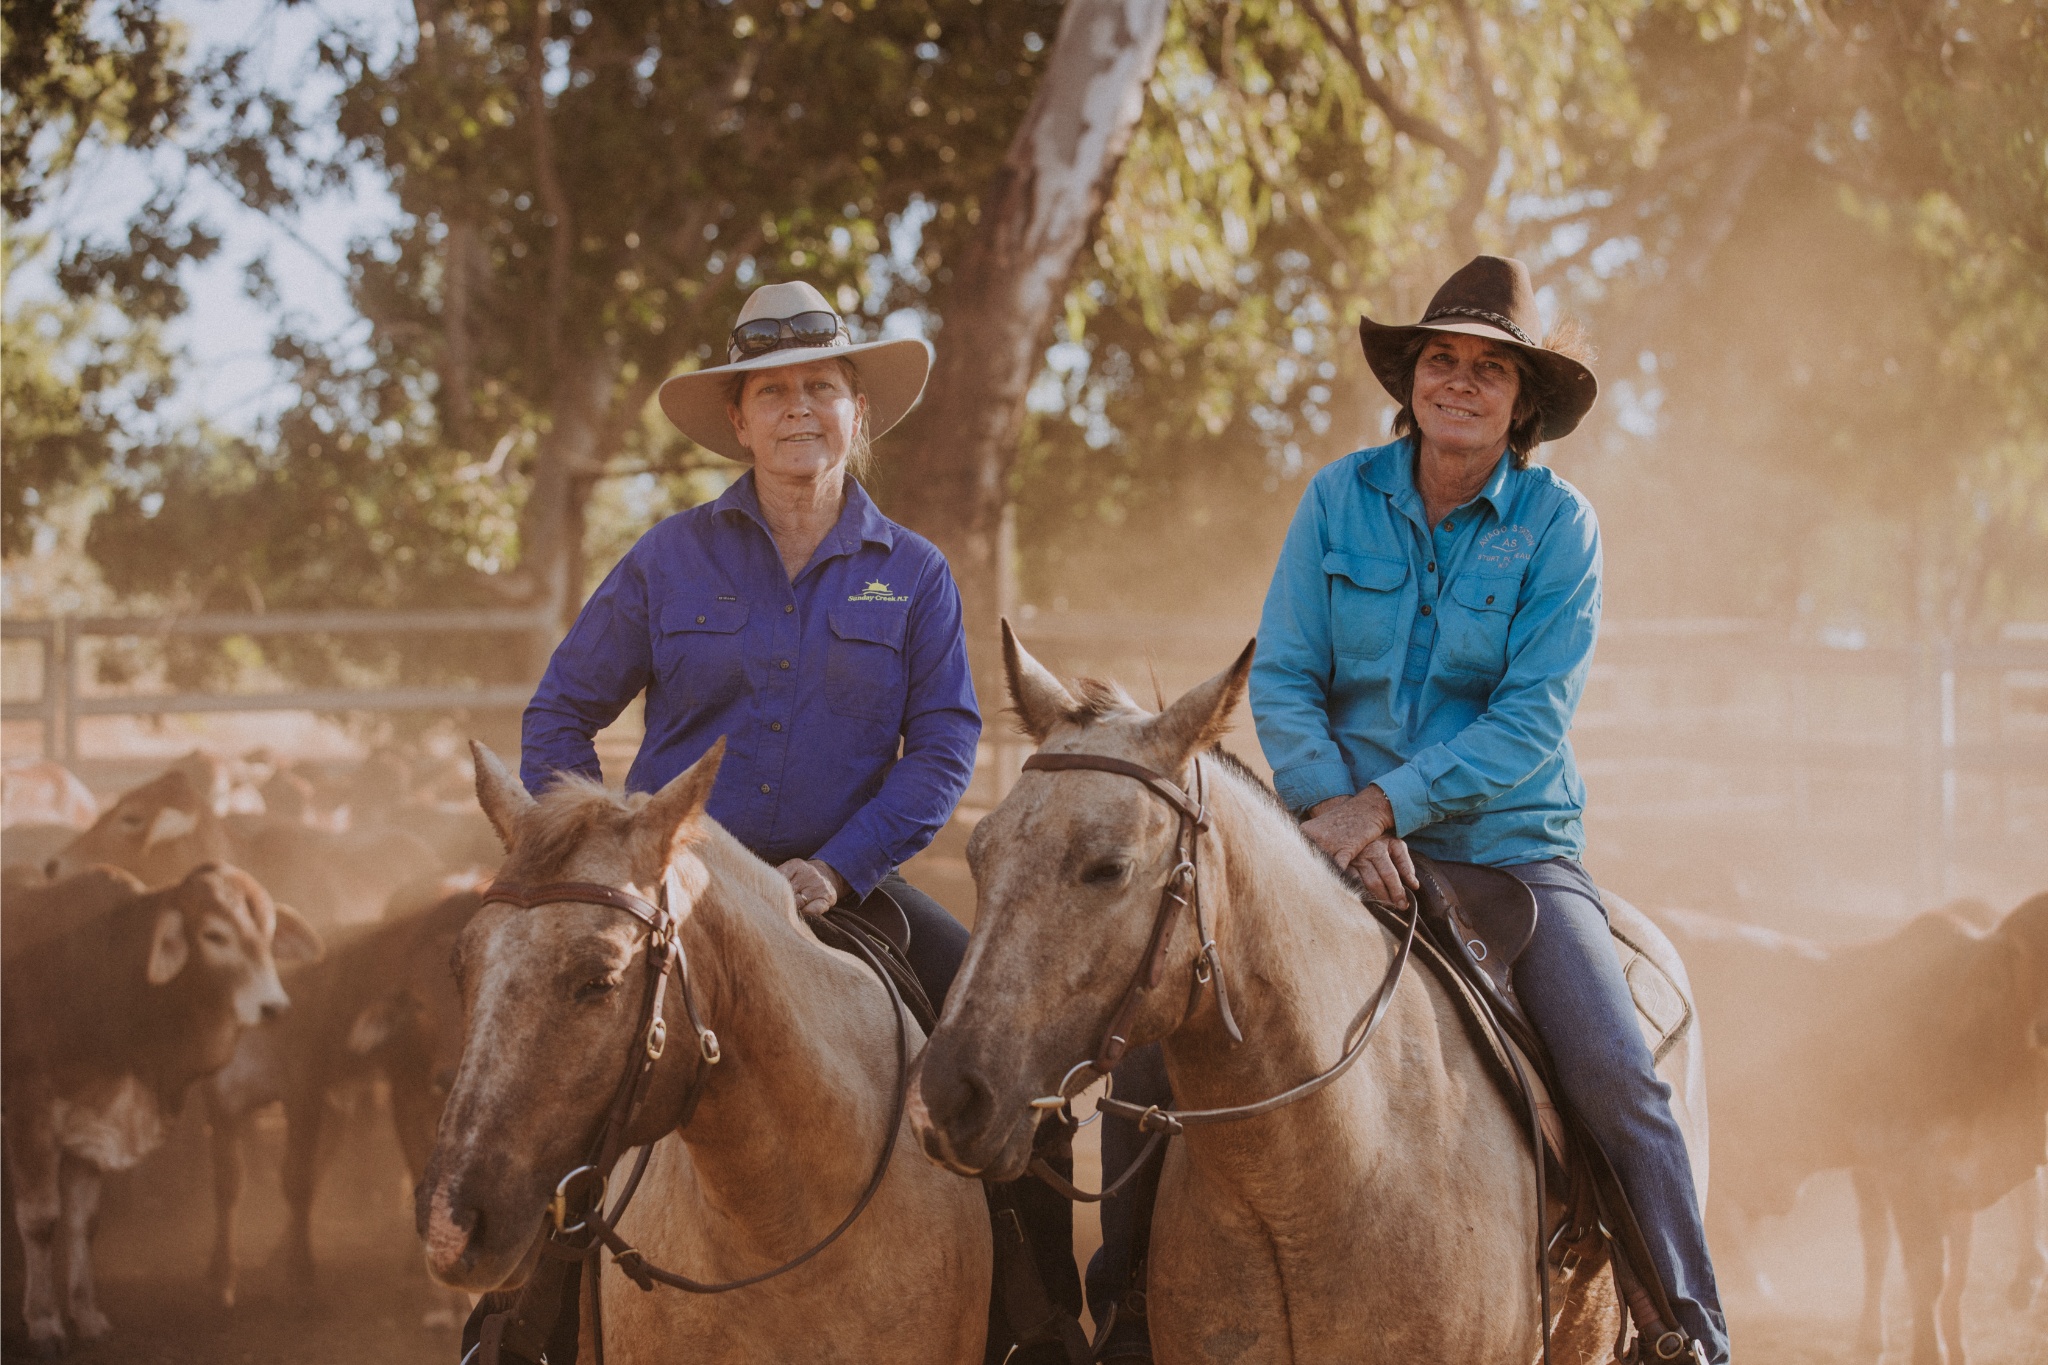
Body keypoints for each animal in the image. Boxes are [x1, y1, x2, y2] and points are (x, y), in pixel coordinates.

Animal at [2, 863, 321, 1358]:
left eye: (269, 935)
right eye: (214, 935)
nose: (275, 1007)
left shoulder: (92, 1123)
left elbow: (82, 1221)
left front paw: (87, 1315)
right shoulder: (28, 1113)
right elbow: (40, 1219)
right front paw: (44, 1322)